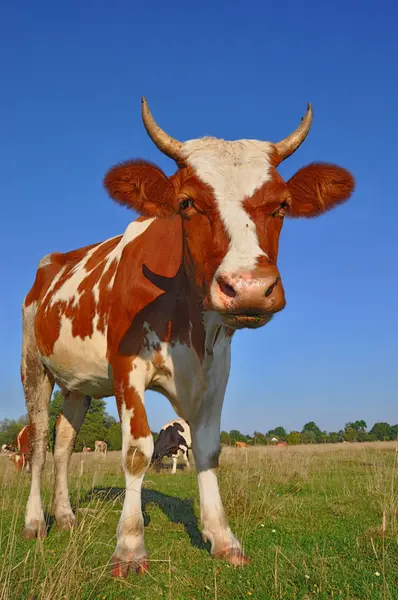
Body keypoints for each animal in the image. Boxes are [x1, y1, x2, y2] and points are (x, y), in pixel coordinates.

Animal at [20, 98, 354, 576]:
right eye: (186, 202)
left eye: (283, 205)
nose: (249, 287)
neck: (189, 324)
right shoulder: (126, 369)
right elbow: (136, 452)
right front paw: (129, 547)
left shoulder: (216, 370)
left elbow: (209, 450)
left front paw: (223, 537)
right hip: (33, 366)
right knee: (38, 443)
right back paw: (35, 523)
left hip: (78, 386)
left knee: (64, 442)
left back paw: (65, 517)